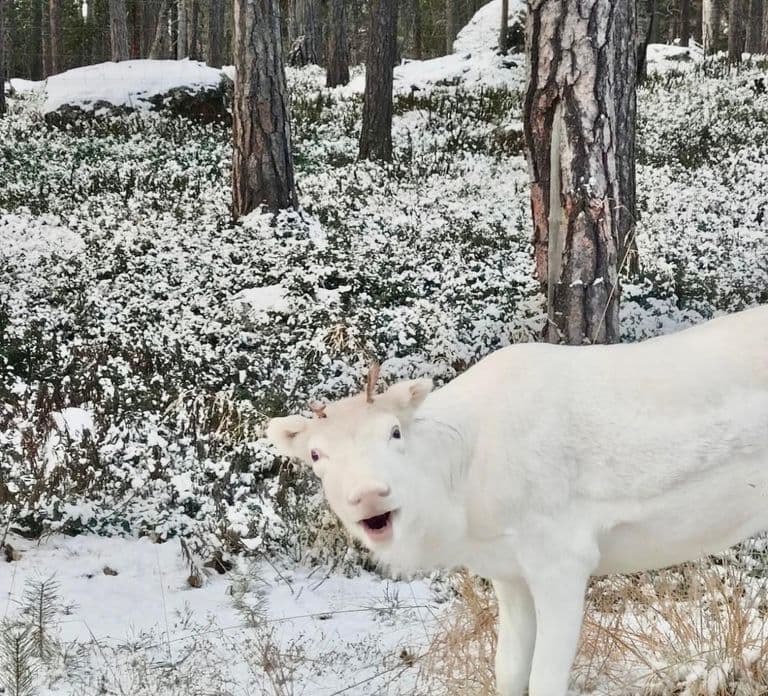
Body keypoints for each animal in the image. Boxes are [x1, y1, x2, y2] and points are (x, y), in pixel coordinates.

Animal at [266, 304, 768, 696]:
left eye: (394, 431)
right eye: (316, 454)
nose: (370, 494)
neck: (463, 497)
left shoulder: (563, 559)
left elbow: (545, 680)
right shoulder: (508, 572)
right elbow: (507, 672)